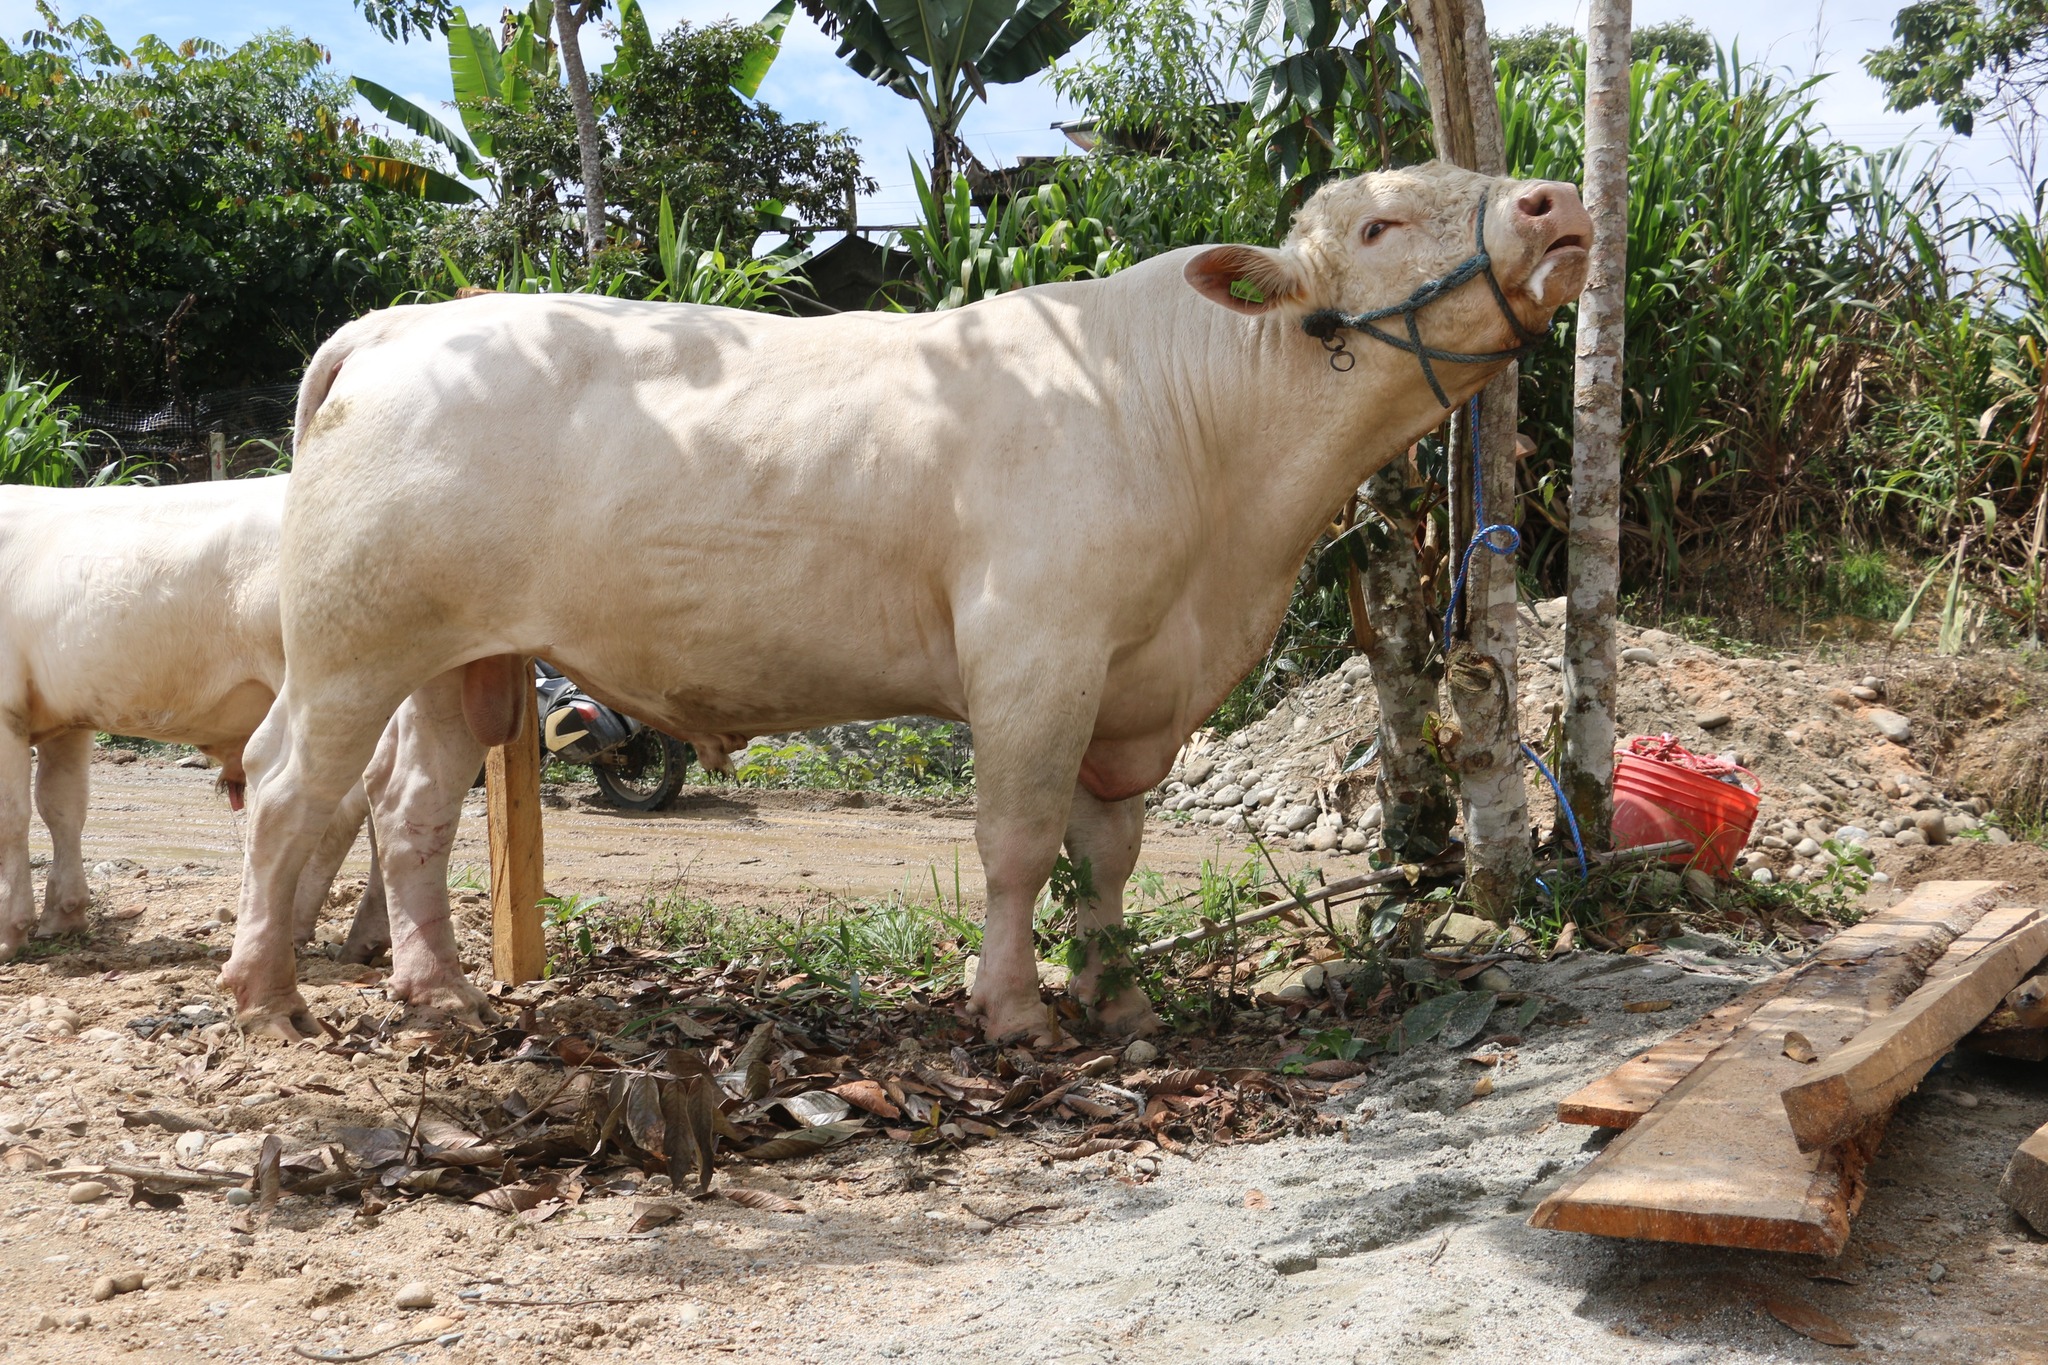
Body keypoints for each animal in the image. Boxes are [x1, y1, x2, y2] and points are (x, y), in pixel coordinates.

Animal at [0, 478, 389, 962]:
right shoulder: (68, 718)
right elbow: (62, 807)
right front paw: (63, 917)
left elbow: (11, 816)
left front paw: (10, 931)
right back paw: (365, 937)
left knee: (341, 802)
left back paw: (291, 927)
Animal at [220, 162, 1592, 1044]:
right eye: (1377, 225)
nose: (1557, 202)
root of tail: (396, 325)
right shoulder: (1034, 653)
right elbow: (1018, 844)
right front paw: (1014, 1010)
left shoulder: (1133, 685)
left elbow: (1108, 854)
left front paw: (1118, 1001)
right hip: (351, 646)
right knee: (291, 787)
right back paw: (265, 994)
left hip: (461, 659)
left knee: (407, 809)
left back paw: (437, 994)